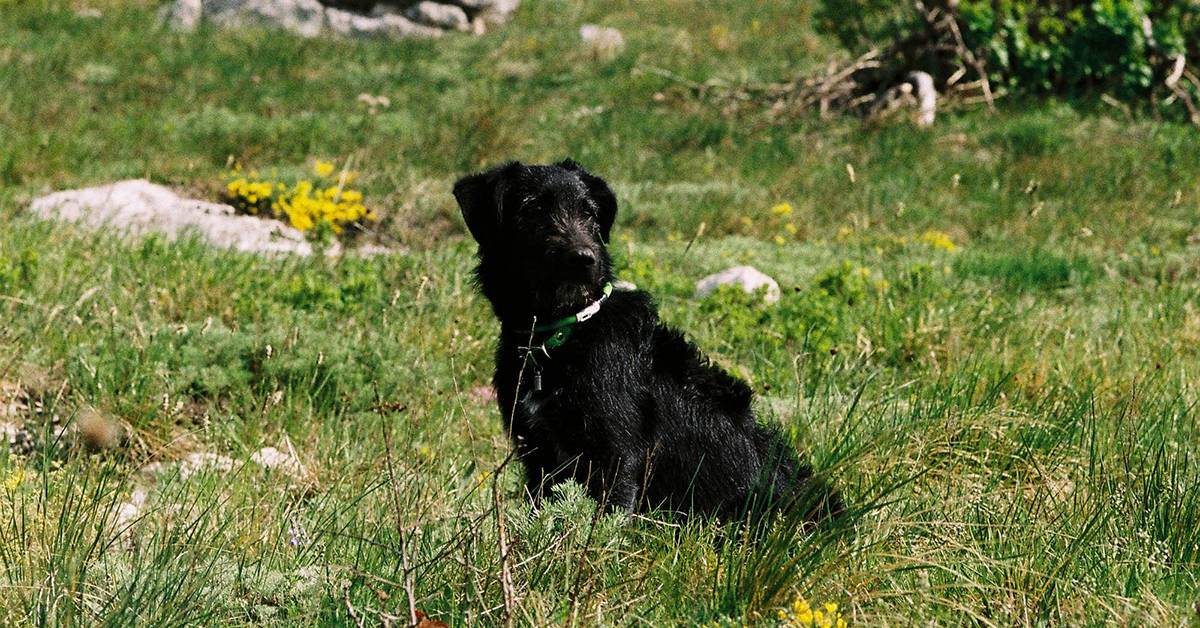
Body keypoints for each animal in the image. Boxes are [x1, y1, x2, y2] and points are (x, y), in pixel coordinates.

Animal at [456, 159, 844, 523]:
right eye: (532, 209)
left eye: (589, 212)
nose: (583, 259)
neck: (560, 335)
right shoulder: (538, 456)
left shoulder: (618, 453)